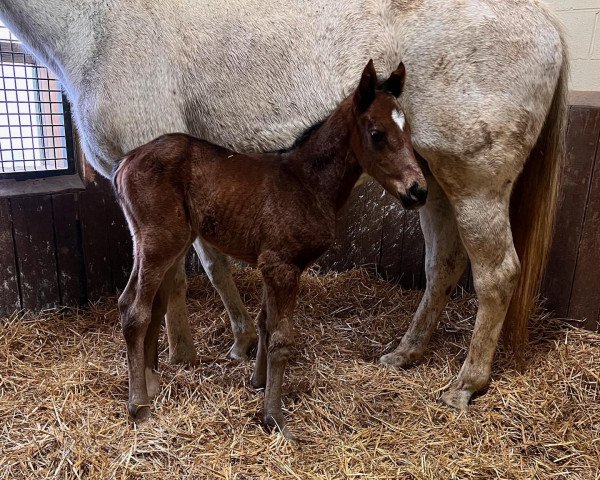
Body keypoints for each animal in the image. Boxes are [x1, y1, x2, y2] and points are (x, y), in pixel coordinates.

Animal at [113, 60, 426, 436]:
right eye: (377, 134)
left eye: (408, 130)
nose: (418, 190)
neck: (306, 183)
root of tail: (126, 161)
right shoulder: (282, 266)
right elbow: (280, 338)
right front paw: (274, 416)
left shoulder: (270, 264)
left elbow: (265, 322)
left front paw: (258, 383)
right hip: (160, 243)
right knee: (136, 310)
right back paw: (138, 404)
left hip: (158, 244)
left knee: (138, 302)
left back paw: (150, 384)